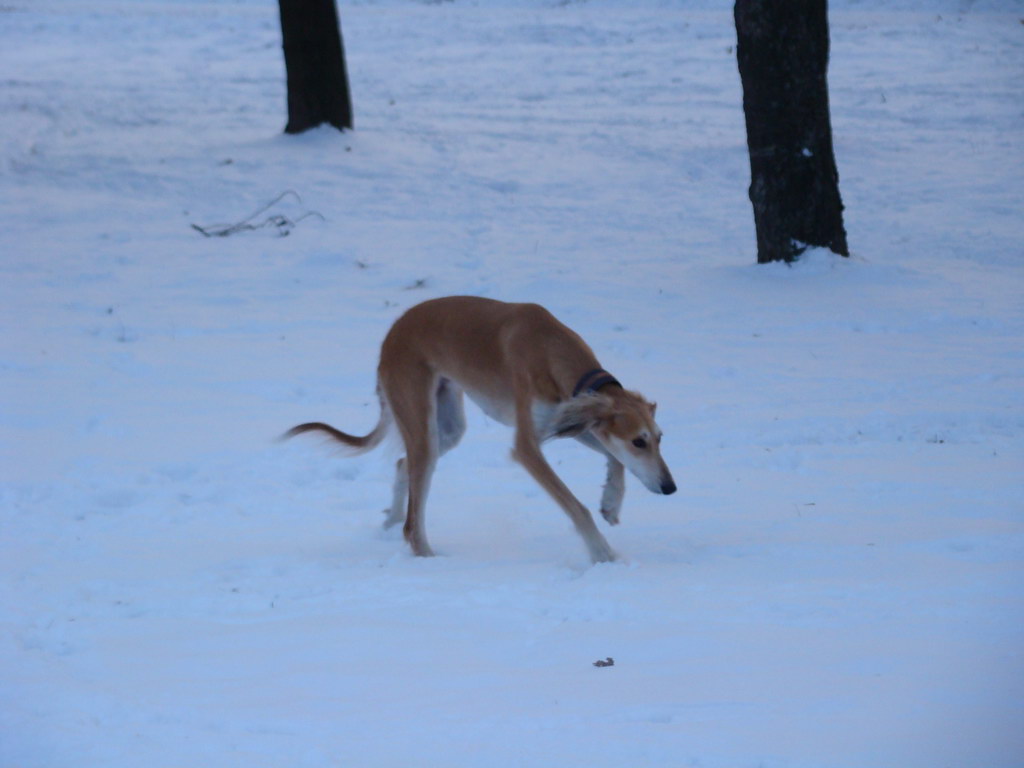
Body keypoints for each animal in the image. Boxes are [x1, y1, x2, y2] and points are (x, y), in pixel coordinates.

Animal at [284, 296, 675, 565]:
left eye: (659, 438)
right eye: (638, 441)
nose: (670, 488)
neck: (552, 347)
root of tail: (393, 331)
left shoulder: (572, 419)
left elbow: (613, 457)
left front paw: (611, 500)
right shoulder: (528, 446)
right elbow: (576, 506)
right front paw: (603, 555)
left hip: (447, 426)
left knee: (402, 465)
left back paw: (392, 519)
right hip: (421, 421)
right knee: (414, 520)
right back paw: (429, 558)